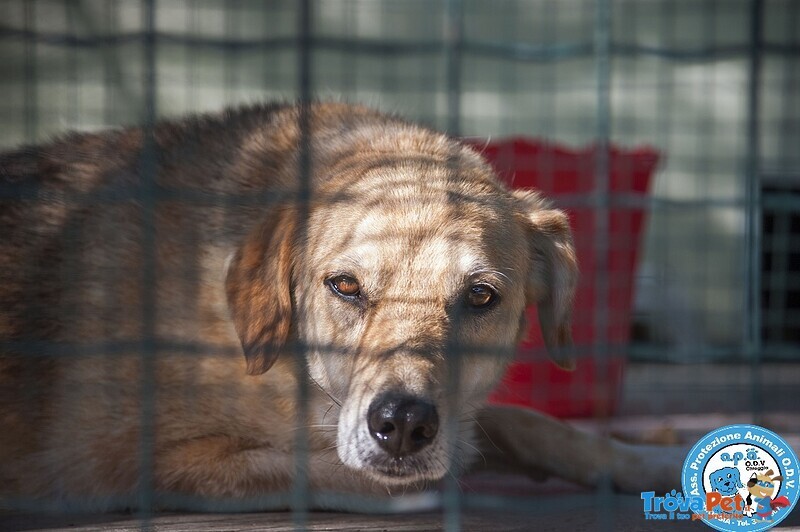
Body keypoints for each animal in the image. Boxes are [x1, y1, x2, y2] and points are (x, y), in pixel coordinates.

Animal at [0, 101, 680, 512]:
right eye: (345, 286)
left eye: (480, 296)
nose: (404, 424)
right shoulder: (148, 464)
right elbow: (384, 472)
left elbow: (528, 422)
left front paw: (650, 460)